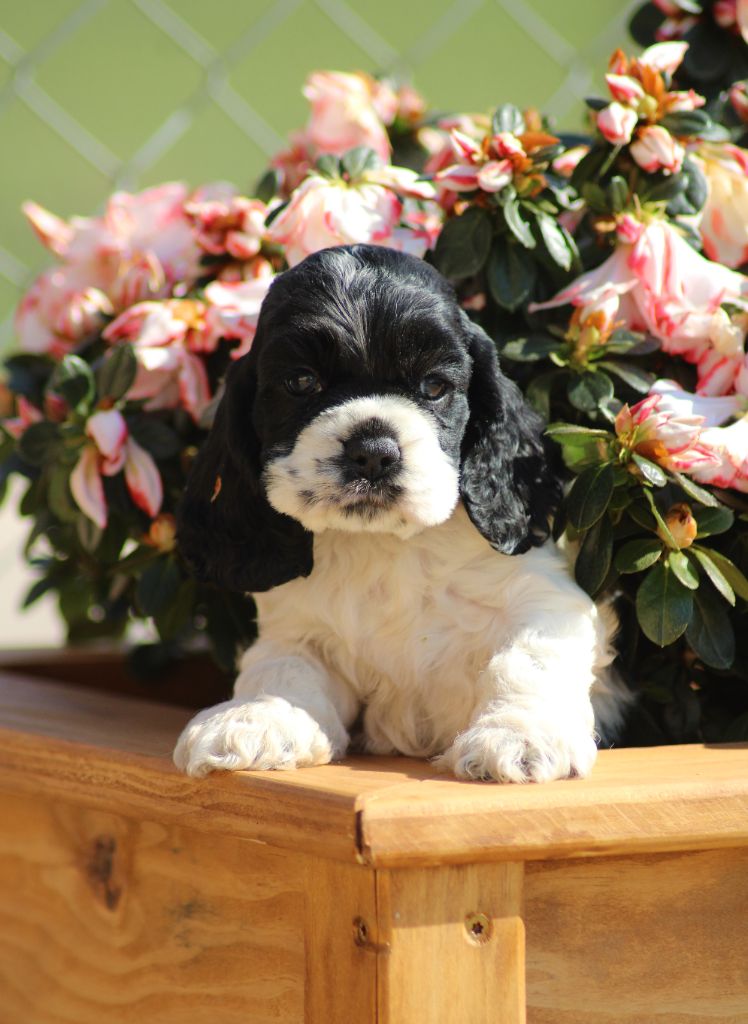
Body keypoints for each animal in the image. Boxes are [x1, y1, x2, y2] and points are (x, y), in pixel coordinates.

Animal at [173, 244, 624, 783]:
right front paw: (254, 719)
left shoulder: (543, 595)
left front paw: (520, 735)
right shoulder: (296, 625)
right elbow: (282, 666)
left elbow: (527, 658)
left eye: (433, 387)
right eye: (301, 381)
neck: (386, 544)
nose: (373, 452)